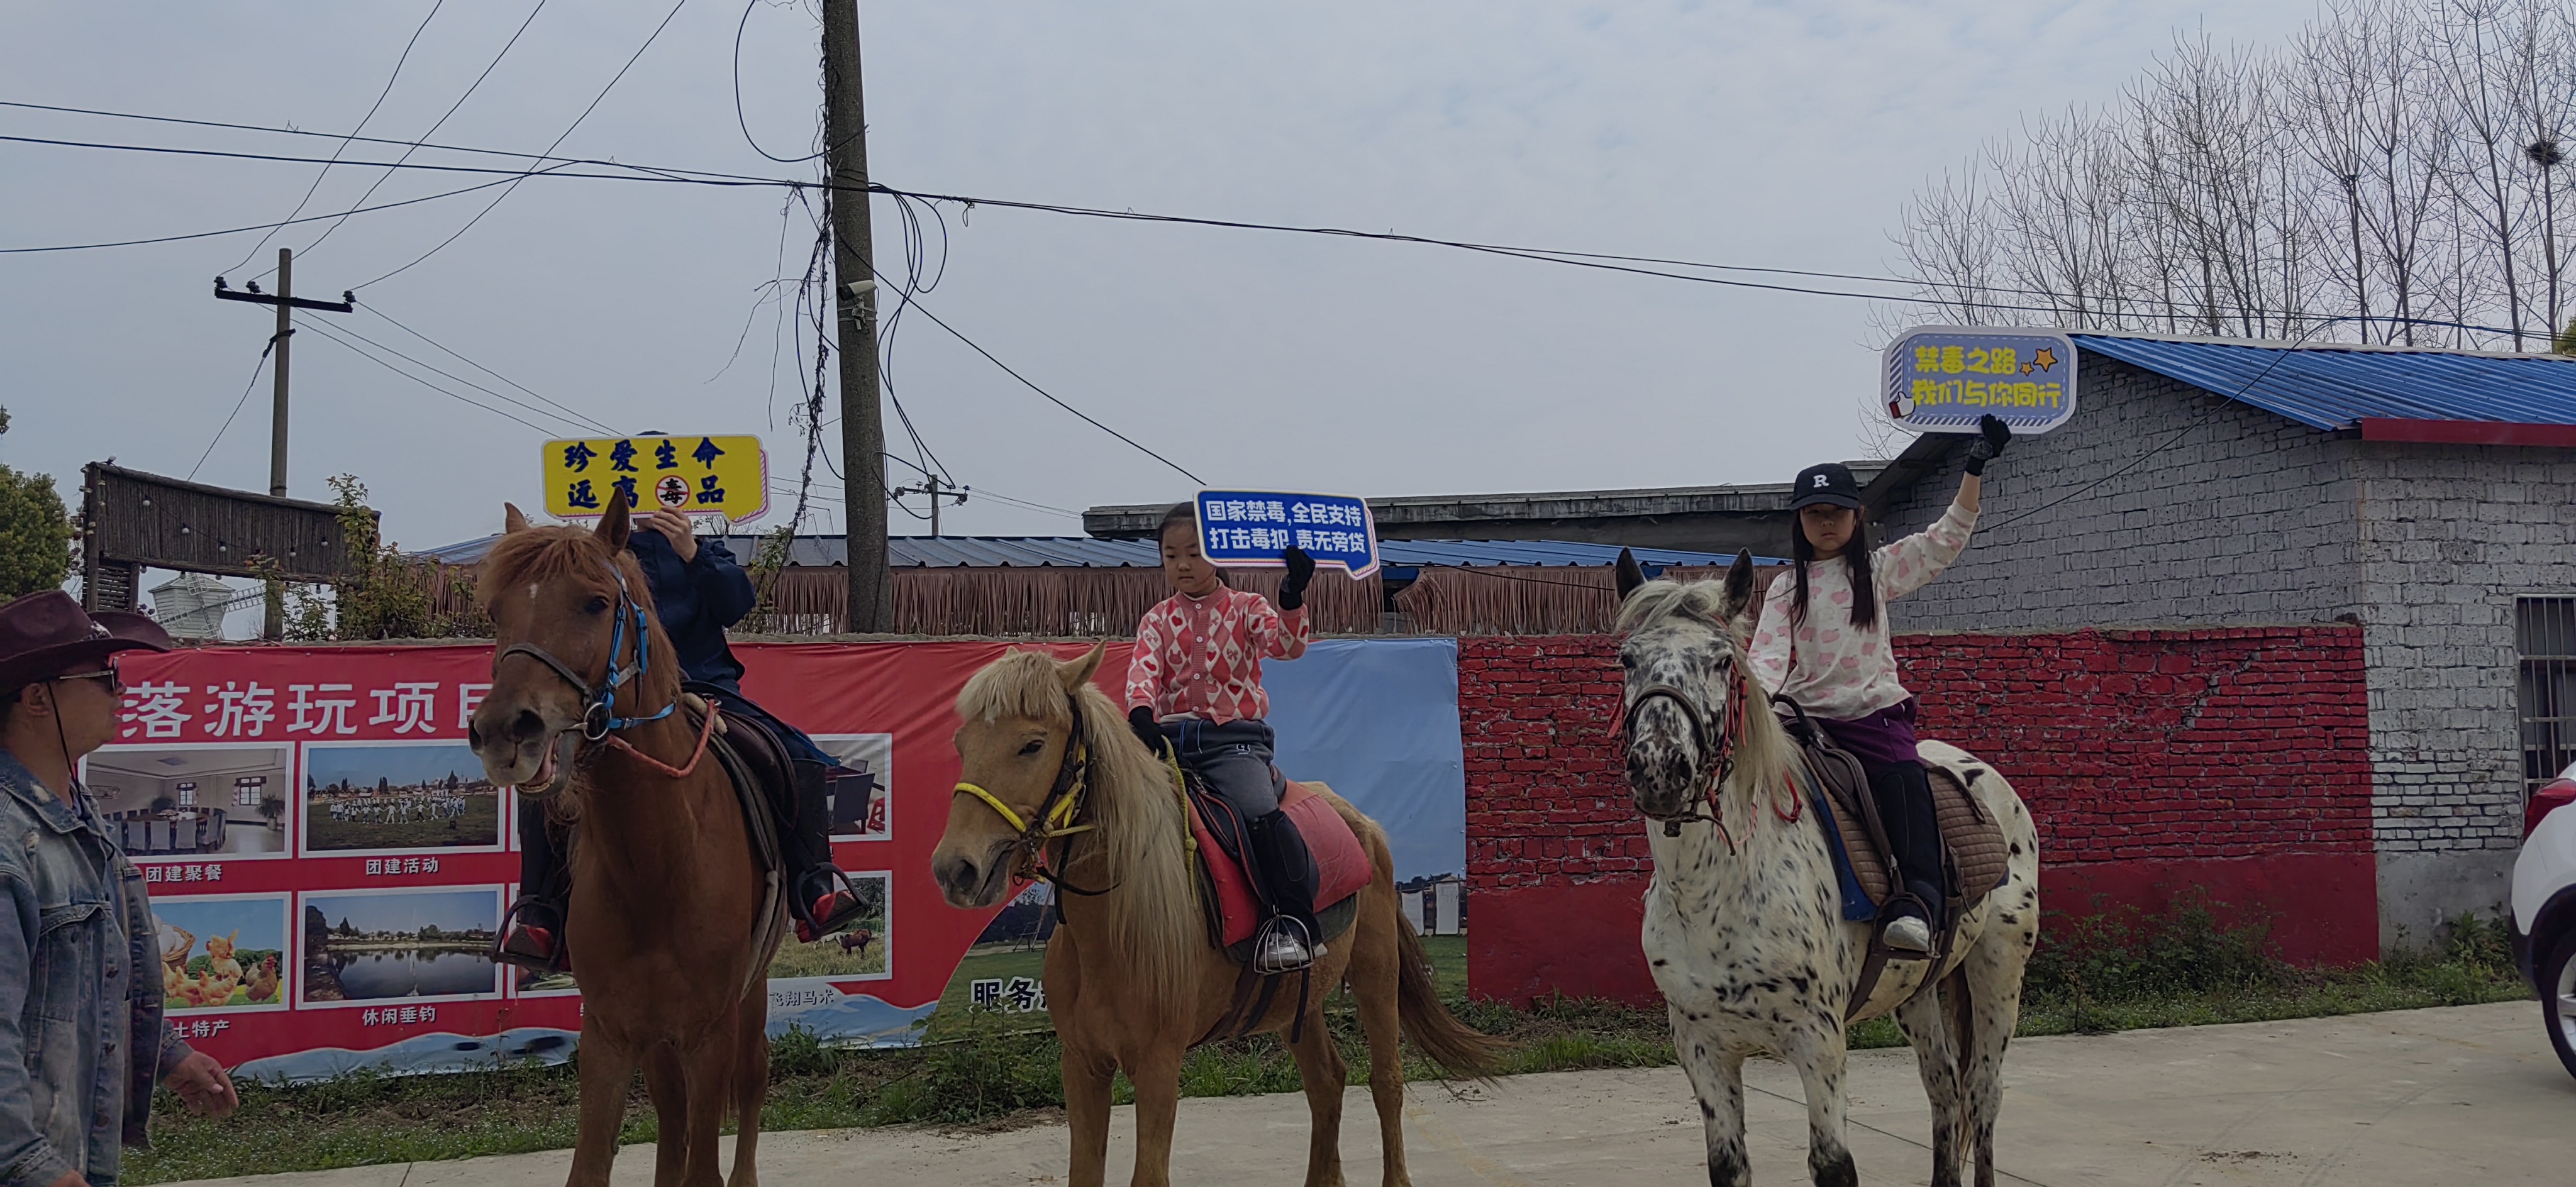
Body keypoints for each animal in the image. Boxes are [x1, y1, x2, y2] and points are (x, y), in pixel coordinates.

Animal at [467, 497, 785, 1187]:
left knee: (752, 1079)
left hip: (750, 996)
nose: (506, 731)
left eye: (594, 603)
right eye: (496, 611)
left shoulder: (709, 1031)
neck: (655, 865)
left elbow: (705, 1163)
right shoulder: (610, 1033)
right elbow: (595, 1162)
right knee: (670, 1105)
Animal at [929, 645, 1503, 1187]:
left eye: (1032, 745)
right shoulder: (1082, 1063)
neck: (1111, 927)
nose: (955, 869)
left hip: (1376, 973)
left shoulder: (1158, 1066)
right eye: (960, 745)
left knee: (1387, 1083)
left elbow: (1149, 1175)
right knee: (1327, 1082)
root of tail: (1361, 822)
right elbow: (1084, 1173)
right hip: (1299, 1001)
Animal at [1612, 553, 2040, 1187]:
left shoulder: (1818, 1043)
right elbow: (1728, 1165)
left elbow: (1833, 1164)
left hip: (1999, 971)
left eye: (1721, 661)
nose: (1660, 768)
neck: (1718, 895)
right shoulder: (1702, 1047)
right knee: (1943, 1087)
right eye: (1628, 659)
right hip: (1920, 992)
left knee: (1982, 1094)